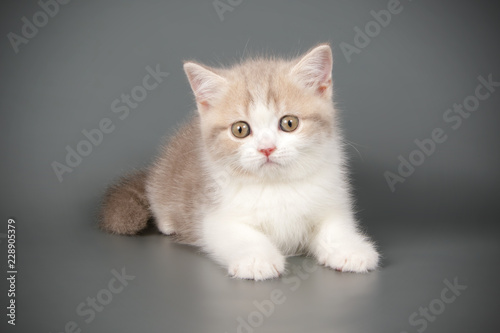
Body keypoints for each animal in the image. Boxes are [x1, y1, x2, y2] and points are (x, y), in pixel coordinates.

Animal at [99, 42, 378, 278]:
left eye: (289, 123)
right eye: (240, 129)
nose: (267, 148)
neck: (276, 186)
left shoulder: (331, 200)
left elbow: (335, 227)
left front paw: (351, 250)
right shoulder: (213, 214)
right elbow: (241, 235)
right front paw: (257, 260)